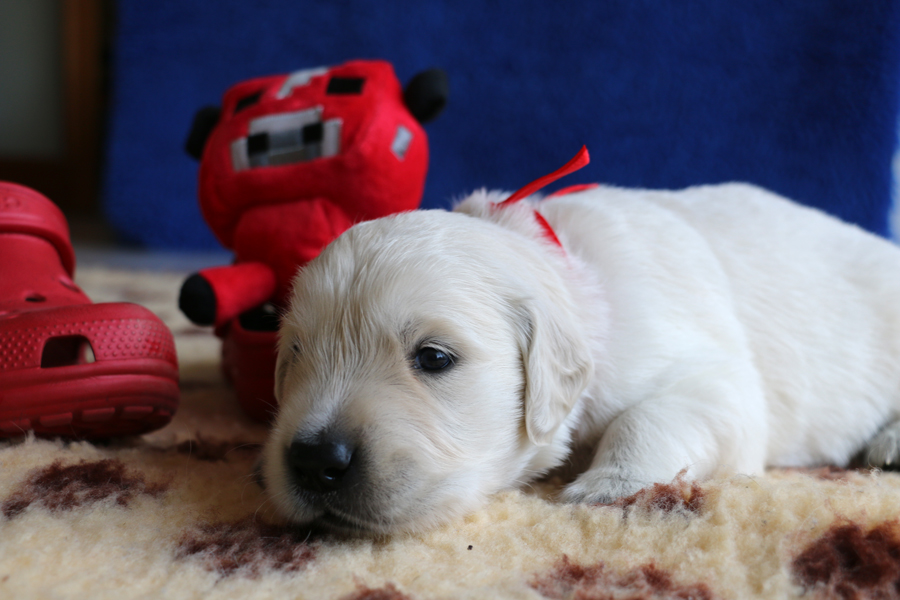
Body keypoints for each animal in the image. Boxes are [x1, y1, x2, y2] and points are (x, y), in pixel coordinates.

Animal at [260, 179, 900, 535]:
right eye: (295, 354)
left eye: (434, 358)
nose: (314, 460)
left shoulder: (713, 378)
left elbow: (652, 414)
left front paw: (609, 484)